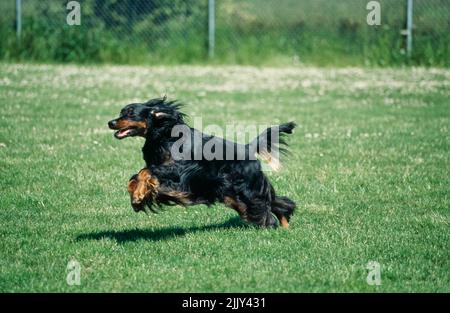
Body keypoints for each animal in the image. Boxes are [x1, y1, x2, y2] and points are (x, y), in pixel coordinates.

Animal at [107, 97, 296, 227]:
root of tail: (247, 148)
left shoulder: (178, 170)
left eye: (131, 113)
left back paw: (272, 225)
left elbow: (144, 172)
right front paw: (136, 197)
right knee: (273, 204)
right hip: (231, 195)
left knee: (267, 205)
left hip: (249, 189)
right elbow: (137, 177)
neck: (164, 136)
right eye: (121, 112)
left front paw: (138, 196)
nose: (111, 122)